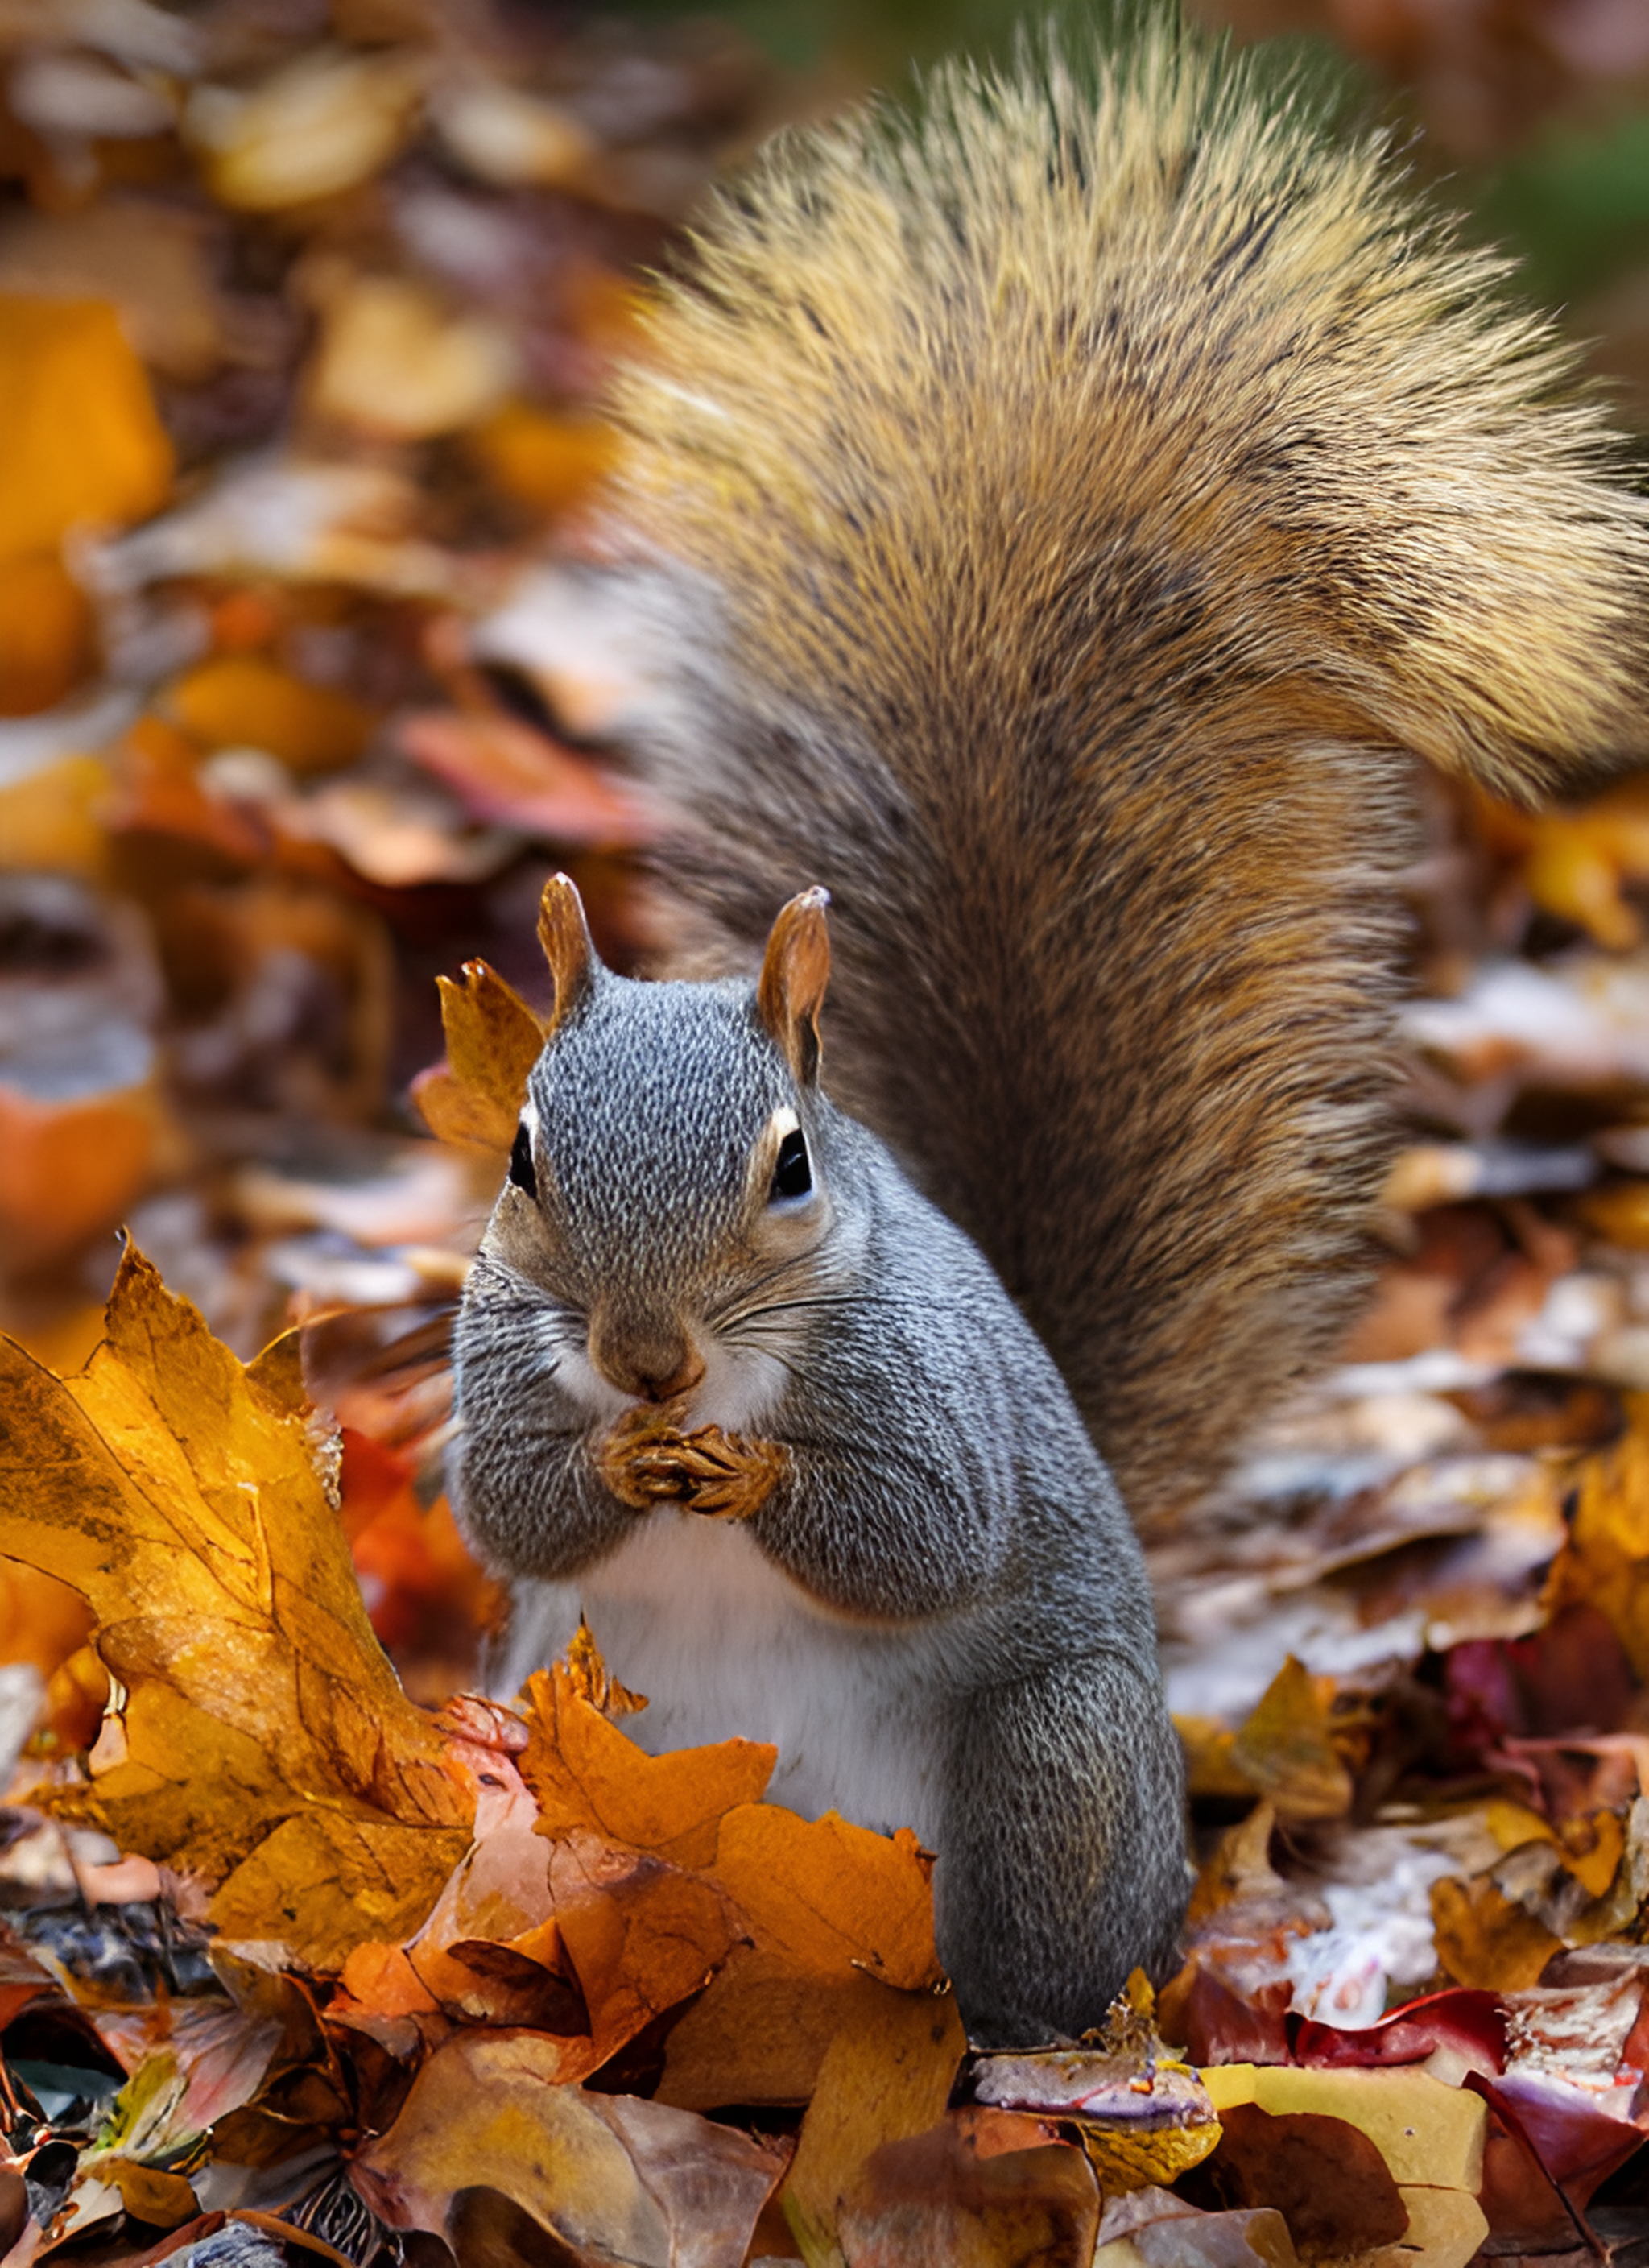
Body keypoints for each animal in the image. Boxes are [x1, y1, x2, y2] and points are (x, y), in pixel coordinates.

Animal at [448, 13, 1649, 2041]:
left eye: (787, 1165)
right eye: (520, 1153)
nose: (645, 1360)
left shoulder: (927, 1387)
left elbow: (925, 1527)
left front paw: (749, 1472)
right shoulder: (487, 1359)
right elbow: (507, 1509)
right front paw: (615, 1466)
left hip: (1046, 1771)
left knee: (1038, 1958)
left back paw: (1039, 2049)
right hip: (562, 1751)